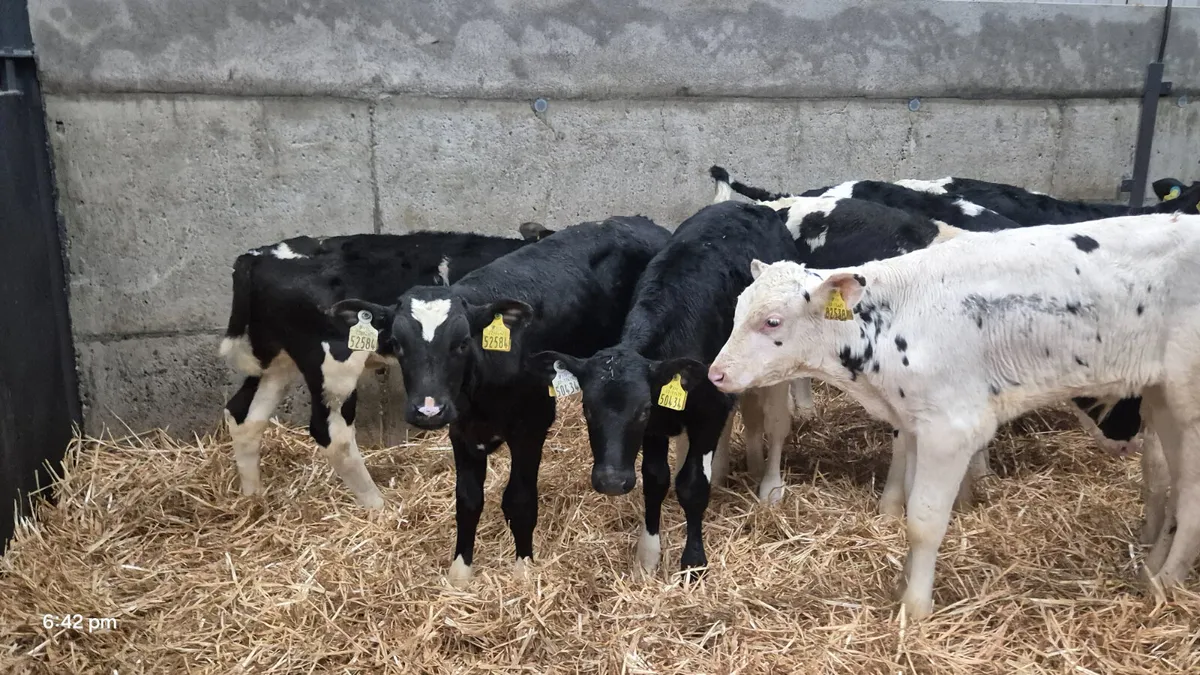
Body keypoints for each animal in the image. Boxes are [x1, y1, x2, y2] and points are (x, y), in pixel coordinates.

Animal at [219, 223, 554, 508]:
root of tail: (257, 257)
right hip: (332, 361)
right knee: (332, 435)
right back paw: (378, 506)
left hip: (278, 360)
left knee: (244, 415)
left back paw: (253, 500)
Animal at [330, 217, 670, 586]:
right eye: (397, 344)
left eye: (462, 343)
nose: (428, 410)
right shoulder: (462, 431)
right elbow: (467, 501)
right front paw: (460, 574)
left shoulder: (531, 427)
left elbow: (519, 500)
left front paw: (523, 570)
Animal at [527, 201, 798, 577]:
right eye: (587, 409)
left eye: (641, 409)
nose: (611, 481)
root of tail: (749, 205)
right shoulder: (658, 428)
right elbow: (655, 480)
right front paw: (647, 556)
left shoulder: (705, 413)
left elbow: (692, 485)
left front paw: (694, 562)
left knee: (774, 422)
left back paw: (770, 485)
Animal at [707, 213, 1200, 619]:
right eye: (736, 309)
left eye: (772, 321)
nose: (717, 372)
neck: (895, 319)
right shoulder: (914, 422)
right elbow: (908, 501)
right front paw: (903, 585)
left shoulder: (950, 427)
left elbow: (924, 521)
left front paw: (914, 609)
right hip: (1163, 399)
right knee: (1175, 487)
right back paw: (1150, 569)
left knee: (1191, 499)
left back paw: (1163, 584)